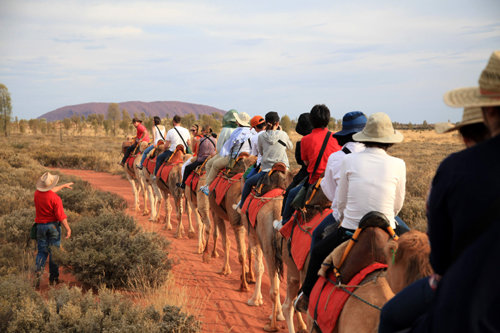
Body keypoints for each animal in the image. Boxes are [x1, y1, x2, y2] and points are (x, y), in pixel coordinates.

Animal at [207, 153, 256, 290]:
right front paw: (248, 274)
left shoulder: (217, 213)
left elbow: (224, 241)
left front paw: (224, 269)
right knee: (249, 252)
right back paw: (250, 278)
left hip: (236, 223)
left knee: (241, 253)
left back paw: (243, 285)